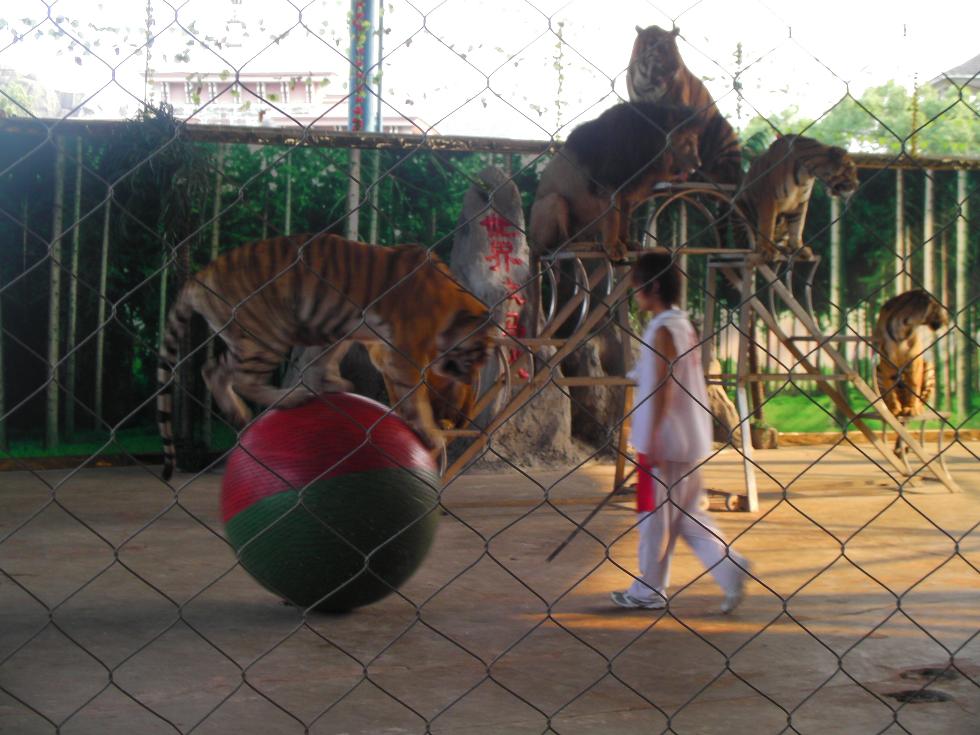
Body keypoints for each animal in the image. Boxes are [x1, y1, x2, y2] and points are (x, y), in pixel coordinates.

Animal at [162, 233, 498, 480]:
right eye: (479, 353)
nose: (471, 377)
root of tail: (201, 275)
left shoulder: (349, 332)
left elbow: (322, 358)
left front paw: (330, 382)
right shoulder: (403, 353)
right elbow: (415, 398)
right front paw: (431, 434)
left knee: (213, 370)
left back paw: (241, 412)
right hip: (265, 334)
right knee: (230, 375)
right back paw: (286, 399)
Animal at [528, 100, 704, 262]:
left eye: (696, 142)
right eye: (688, 143)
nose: (699, 164)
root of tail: (531, 244)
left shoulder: (627, 193)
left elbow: (624, 222)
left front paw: (626, 243)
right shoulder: (609, 187)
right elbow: (613, 219)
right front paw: (613, 247)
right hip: (554, 201)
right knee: (559, 246)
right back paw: (586, 246)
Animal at [872, 290, 948, 422]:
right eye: (936, 309)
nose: (945, 320)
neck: (903, 328)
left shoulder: (914, 362)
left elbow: (914, 387)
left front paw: (911, 409)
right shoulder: (886, 362)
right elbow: (891, 391)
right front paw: (894, 409)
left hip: (929, 367)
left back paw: (918, 408)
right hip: (878, 370)